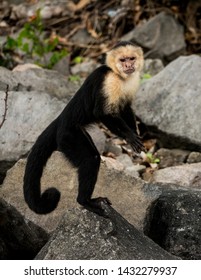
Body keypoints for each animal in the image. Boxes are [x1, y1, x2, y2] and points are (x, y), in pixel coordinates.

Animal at [23, 41, 144, 217]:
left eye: (131, 58)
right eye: (122, 60)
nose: (128, 65)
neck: (119, 76)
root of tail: (60, 119)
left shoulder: (133, 81)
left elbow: (125, 108)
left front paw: (134, 136)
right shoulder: (108, 81)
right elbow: (102, 113)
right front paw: (130, 137)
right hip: (68, 136)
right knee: (90, 159)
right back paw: (85, 201)